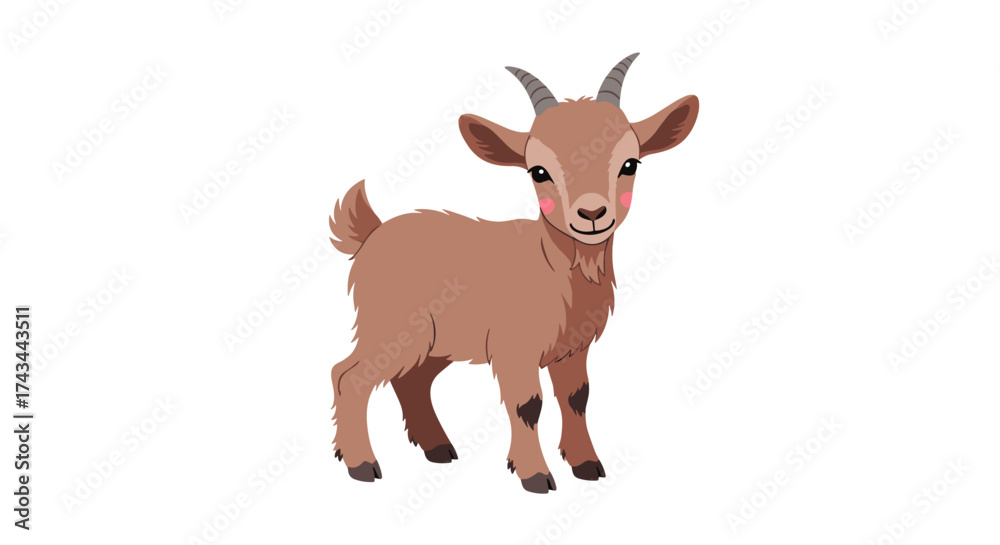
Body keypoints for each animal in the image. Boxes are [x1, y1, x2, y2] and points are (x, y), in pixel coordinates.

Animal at [329, 53, 698, 493]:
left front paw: (586, 464)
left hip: (436, 340)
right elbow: (528, 405)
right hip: (390, 325)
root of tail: (371, 233)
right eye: (538, 171)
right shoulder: (514, 346)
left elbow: (577, 397)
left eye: (630, 164)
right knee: (349, 376)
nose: (592, 214)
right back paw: (361, 465)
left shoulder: (572, 348)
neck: (555, 267)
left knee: (412, 380)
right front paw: (534, 474)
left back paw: (437, 448)